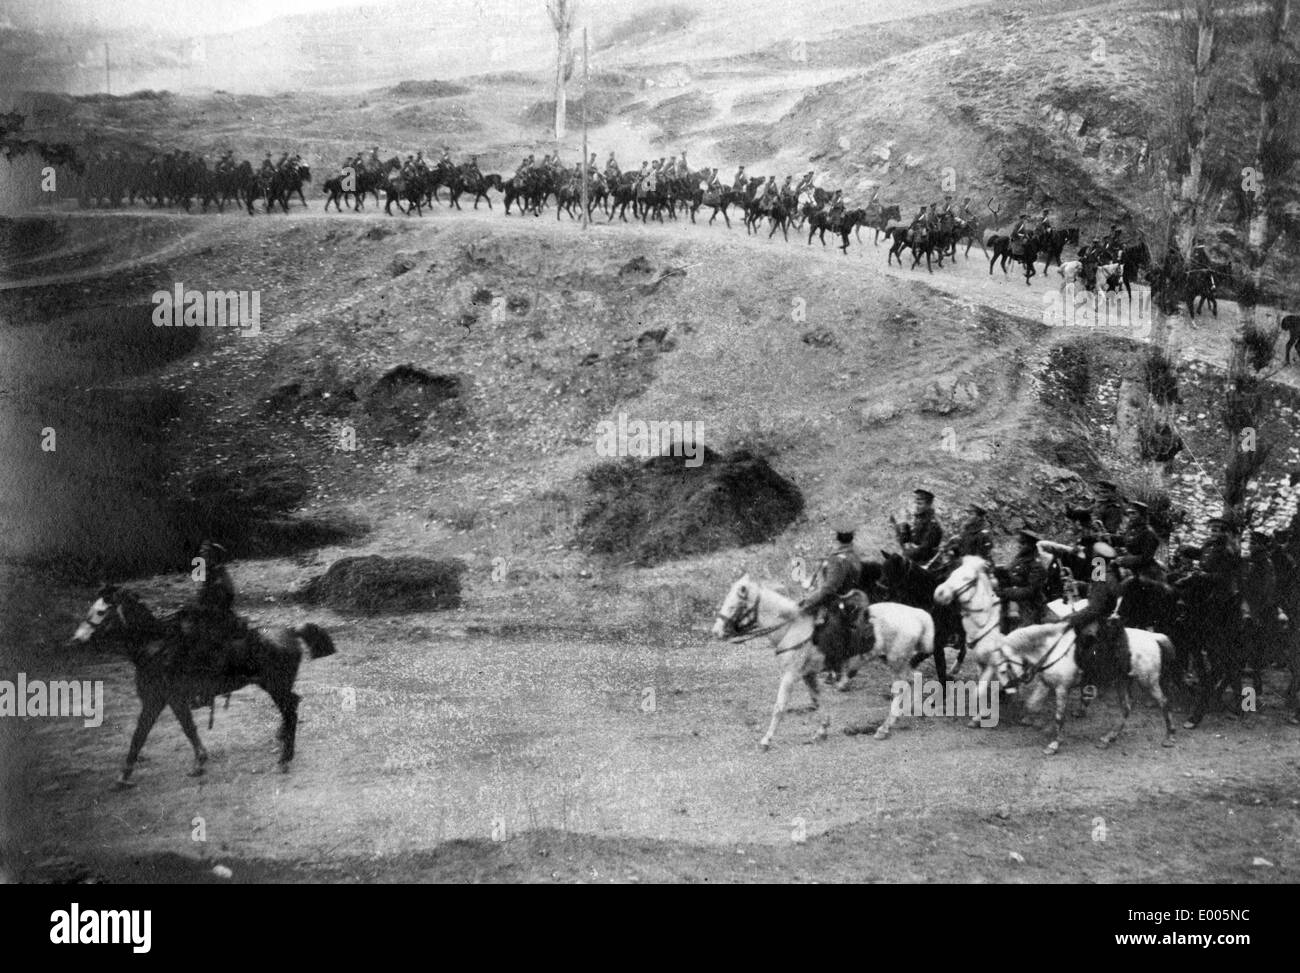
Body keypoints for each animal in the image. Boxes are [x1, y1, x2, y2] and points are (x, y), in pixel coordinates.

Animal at [712, 574, 935, 749]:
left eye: (733, 605)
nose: (715, 632)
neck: (793, 627)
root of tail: (919, 615)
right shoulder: (808, 674)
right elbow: (817, 699)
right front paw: (822, 730)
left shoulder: (790, 675)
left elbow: (780, 706)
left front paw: (766, 740)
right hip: (895, 661)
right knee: (913, 681)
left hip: (896, 661)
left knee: (904, 687)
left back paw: (885, 727)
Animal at [993, 619, 1180, 754]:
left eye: (1002, 669)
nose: (1004, 691)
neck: (1053, 649)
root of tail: (1154, 637)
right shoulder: (1047, 684)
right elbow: (1032, 704)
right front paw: (1032, 722)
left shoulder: (1061, 688)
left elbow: (1059, 717)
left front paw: (1054, 744)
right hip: (1122, 681)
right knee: (1126, 708)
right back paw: (1108, 738)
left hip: (1148, 681)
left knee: (1164, 702)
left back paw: (1170, 736)